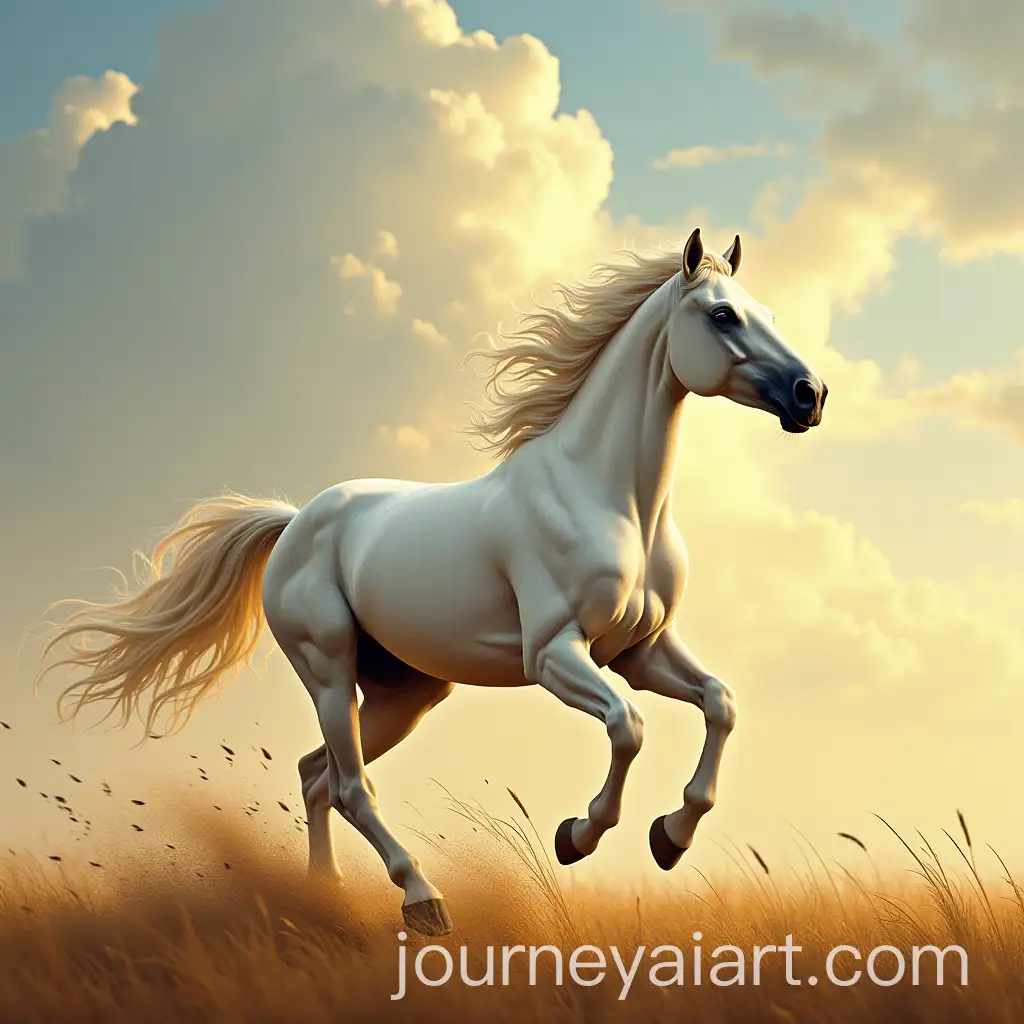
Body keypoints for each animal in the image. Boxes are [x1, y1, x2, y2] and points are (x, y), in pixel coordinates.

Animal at [37, 227, 827, 937]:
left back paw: (326, 895)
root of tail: (295, 522)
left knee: (315, 774)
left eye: (767, 312)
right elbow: (626, 727)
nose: (811, 394)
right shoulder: (554, 653)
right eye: (722, 316)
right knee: (349, 785)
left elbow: (720, 703)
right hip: (329, 670)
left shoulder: (640, 650)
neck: (611, 498)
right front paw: (577, 835)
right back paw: (422, 899)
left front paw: (671, 836)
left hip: (405, 694)